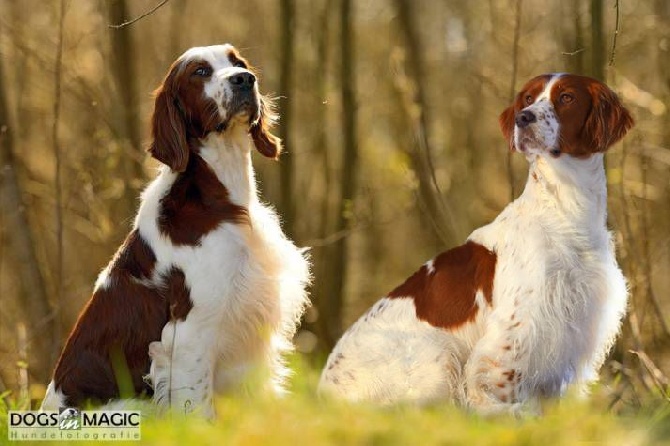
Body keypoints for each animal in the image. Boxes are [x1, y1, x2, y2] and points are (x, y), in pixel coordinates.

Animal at [43, 43, 312, 416]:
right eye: (199, 72)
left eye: (237, 62)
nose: (245, 79)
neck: (218, 199)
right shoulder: (190, 331)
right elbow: (198, 408)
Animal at [320, 74, 636, 414]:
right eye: (527, 98)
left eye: (567, 97)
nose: (523, 118)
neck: (566, 210)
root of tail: (325, 389)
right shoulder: (514, 330)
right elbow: (499, 390)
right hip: (438, 351)